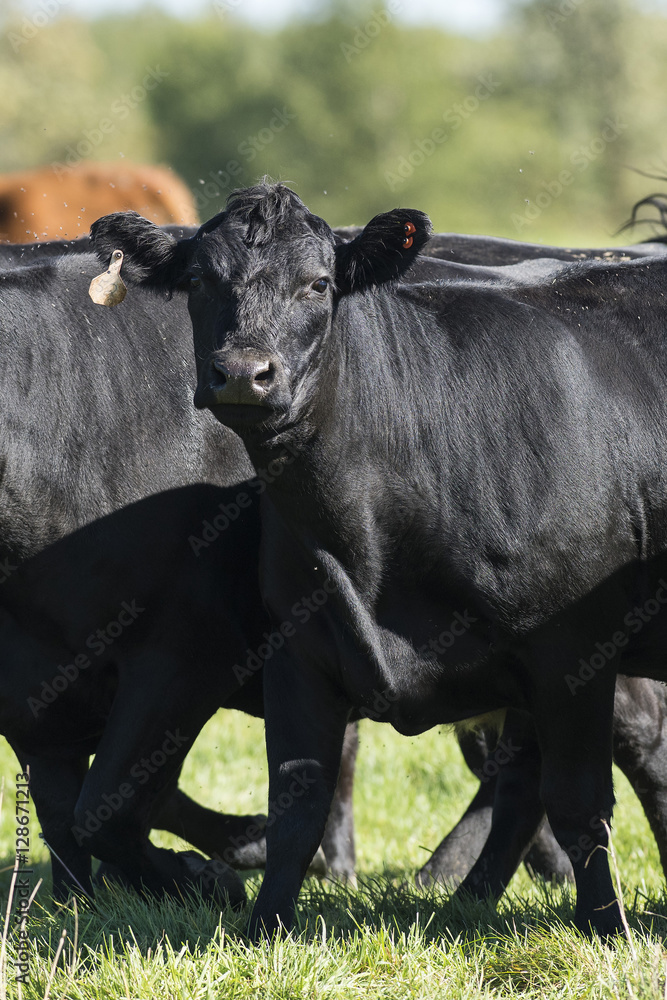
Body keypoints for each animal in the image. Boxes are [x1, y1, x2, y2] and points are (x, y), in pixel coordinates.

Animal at [0, 250, 366, 908]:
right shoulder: (29, 700)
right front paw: (74, 909)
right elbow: (64, 819)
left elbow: (105, 810)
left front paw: (207, 879)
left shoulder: (185, 656)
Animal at [90, 180, 667, 936]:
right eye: (199, 280)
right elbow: (298, 803)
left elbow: (578, 800)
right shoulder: (300, 648)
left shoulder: (571, 650)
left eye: (318, 284)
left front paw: (605, 929)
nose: (243, 374)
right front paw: (266, 928)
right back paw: (464, 902)